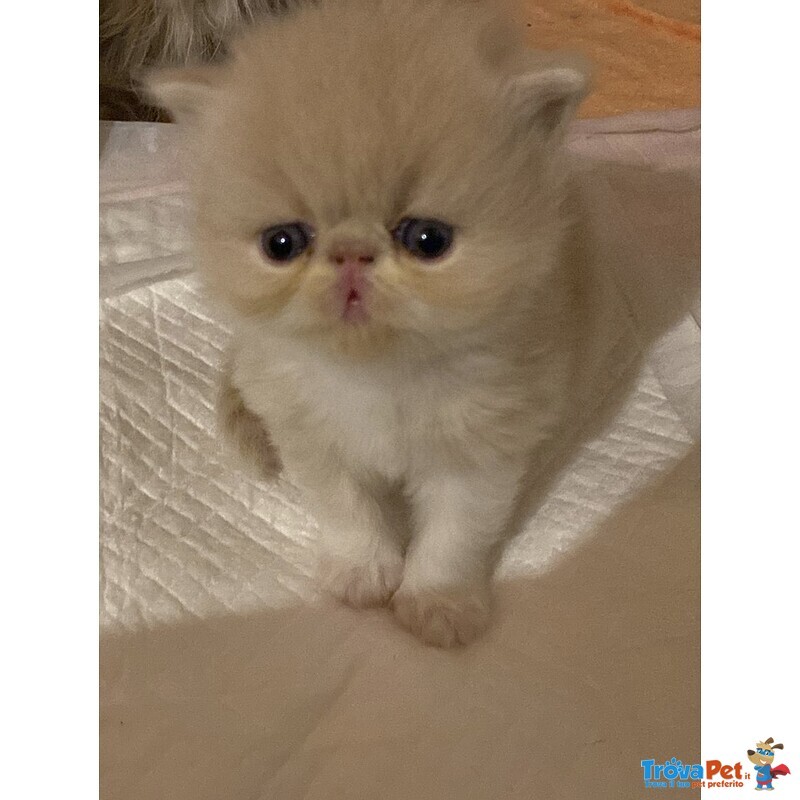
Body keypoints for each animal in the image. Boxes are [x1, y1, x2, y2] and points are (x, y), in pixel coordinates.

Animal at [145, 0, 599, 647]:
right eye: (282, 243)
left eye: (428, 240)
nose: (351, 253)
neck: (379, 374)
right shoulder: (312, 437)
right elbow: (348, 511)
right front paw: (361, 573)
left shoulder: (479, 451)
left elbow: (454, 536)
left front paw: (438, 604)